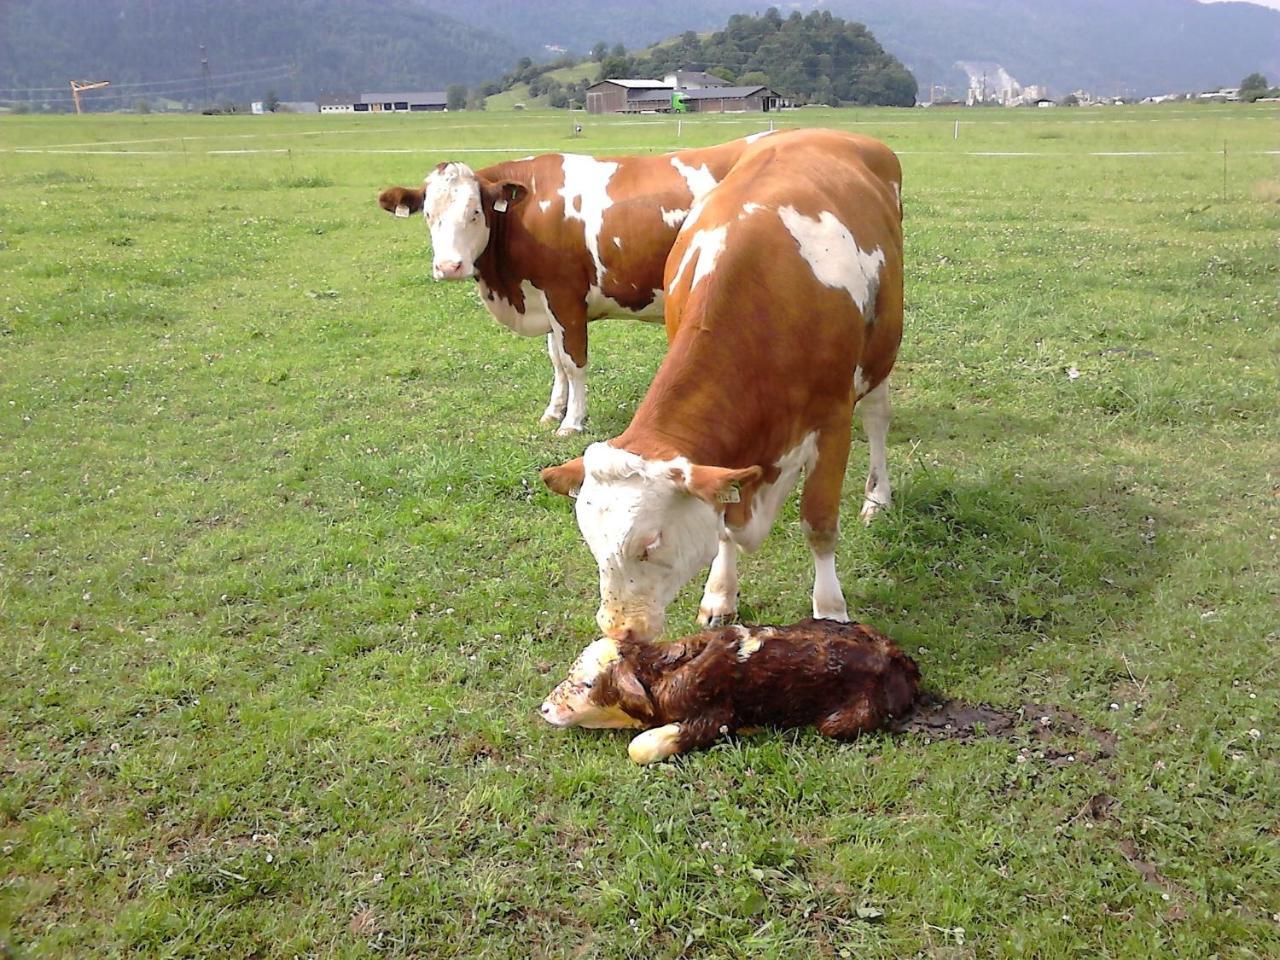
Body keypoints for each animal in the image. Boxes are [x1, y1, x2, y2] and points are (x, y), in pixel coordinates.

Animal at [371, 133, 768, 435]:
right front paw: (553, 411)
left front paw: (573, 422)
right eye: (428, 214)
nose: (449, 266)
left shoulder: (565, 297)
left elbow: (574, 361)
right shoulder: (545, 300)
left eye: (475, 212)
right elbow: (556, 360)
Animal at [540, 624, 921, 768]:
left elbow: (640, 747)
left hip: (843, 719)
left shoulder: (713, 716)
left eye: (585, 685)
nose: (543, 708)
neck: (662, 675)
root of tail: (898, 660)